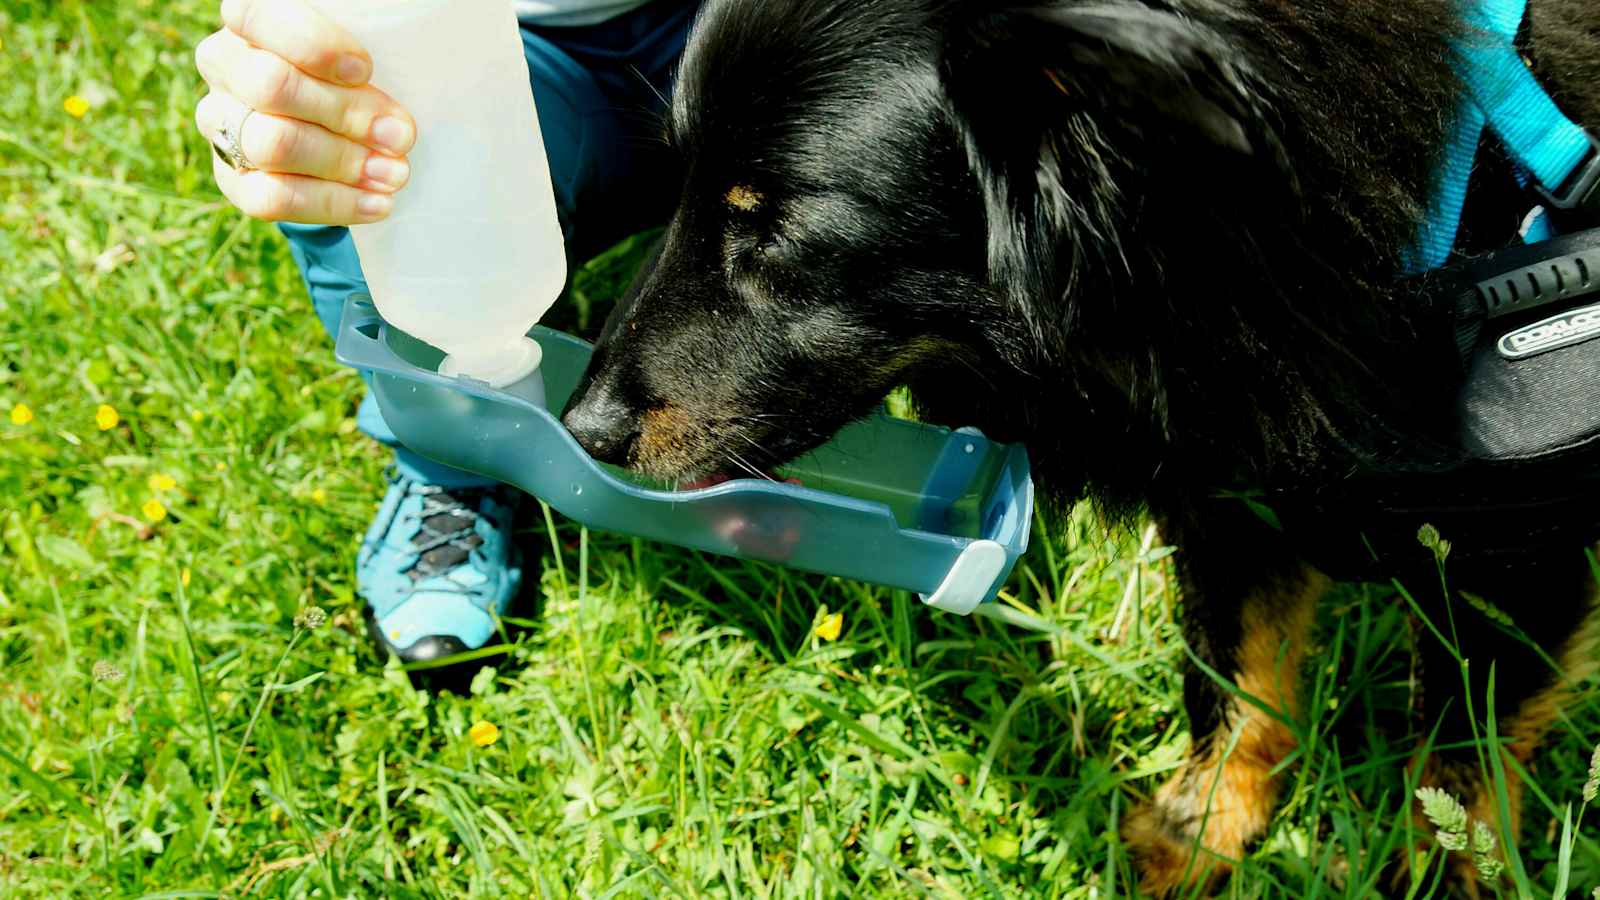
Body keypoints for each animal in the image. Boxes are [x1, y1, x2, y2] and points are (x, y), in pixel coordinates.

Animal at [560, 0, 1600, 890]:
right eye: (680, 187)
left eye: (777, 228)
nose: (585, 428)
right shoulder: (1231, 490)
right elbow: (1233, 673)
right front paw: (1200, 831)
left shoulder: (1518, 553)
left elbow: (1458, 763)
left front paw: (1436, 877)